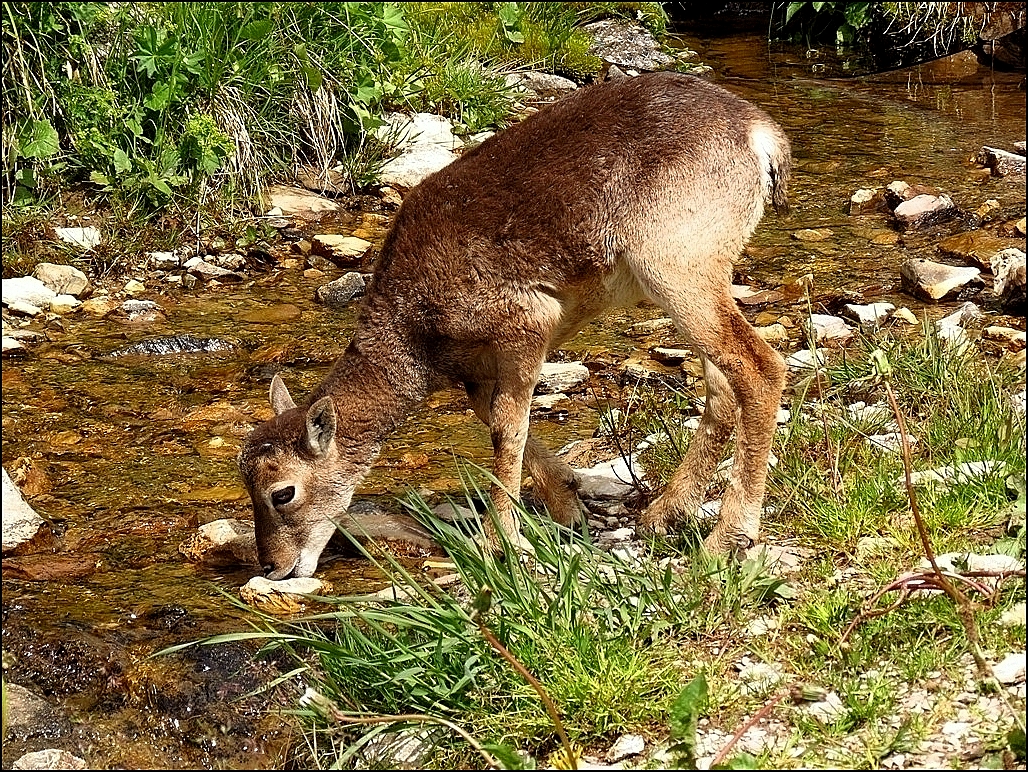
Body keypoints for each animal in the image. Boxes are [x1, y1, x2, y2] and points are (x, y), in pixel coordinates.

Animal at [236, 72, 789, 579]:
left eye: (282, 492)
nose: (273, 566)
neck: (417, 332)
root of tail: (759, 134)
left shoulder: (526, 323)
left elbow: (507, 426)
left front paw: (500, 541)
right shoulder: (478, 371)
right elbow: (499, 422)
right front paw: (570, 504)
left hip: (676, 267)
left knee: (760, 367)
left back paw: (727, 537)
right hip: (702, 277)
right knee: (722, 388)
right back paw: (661, 514)